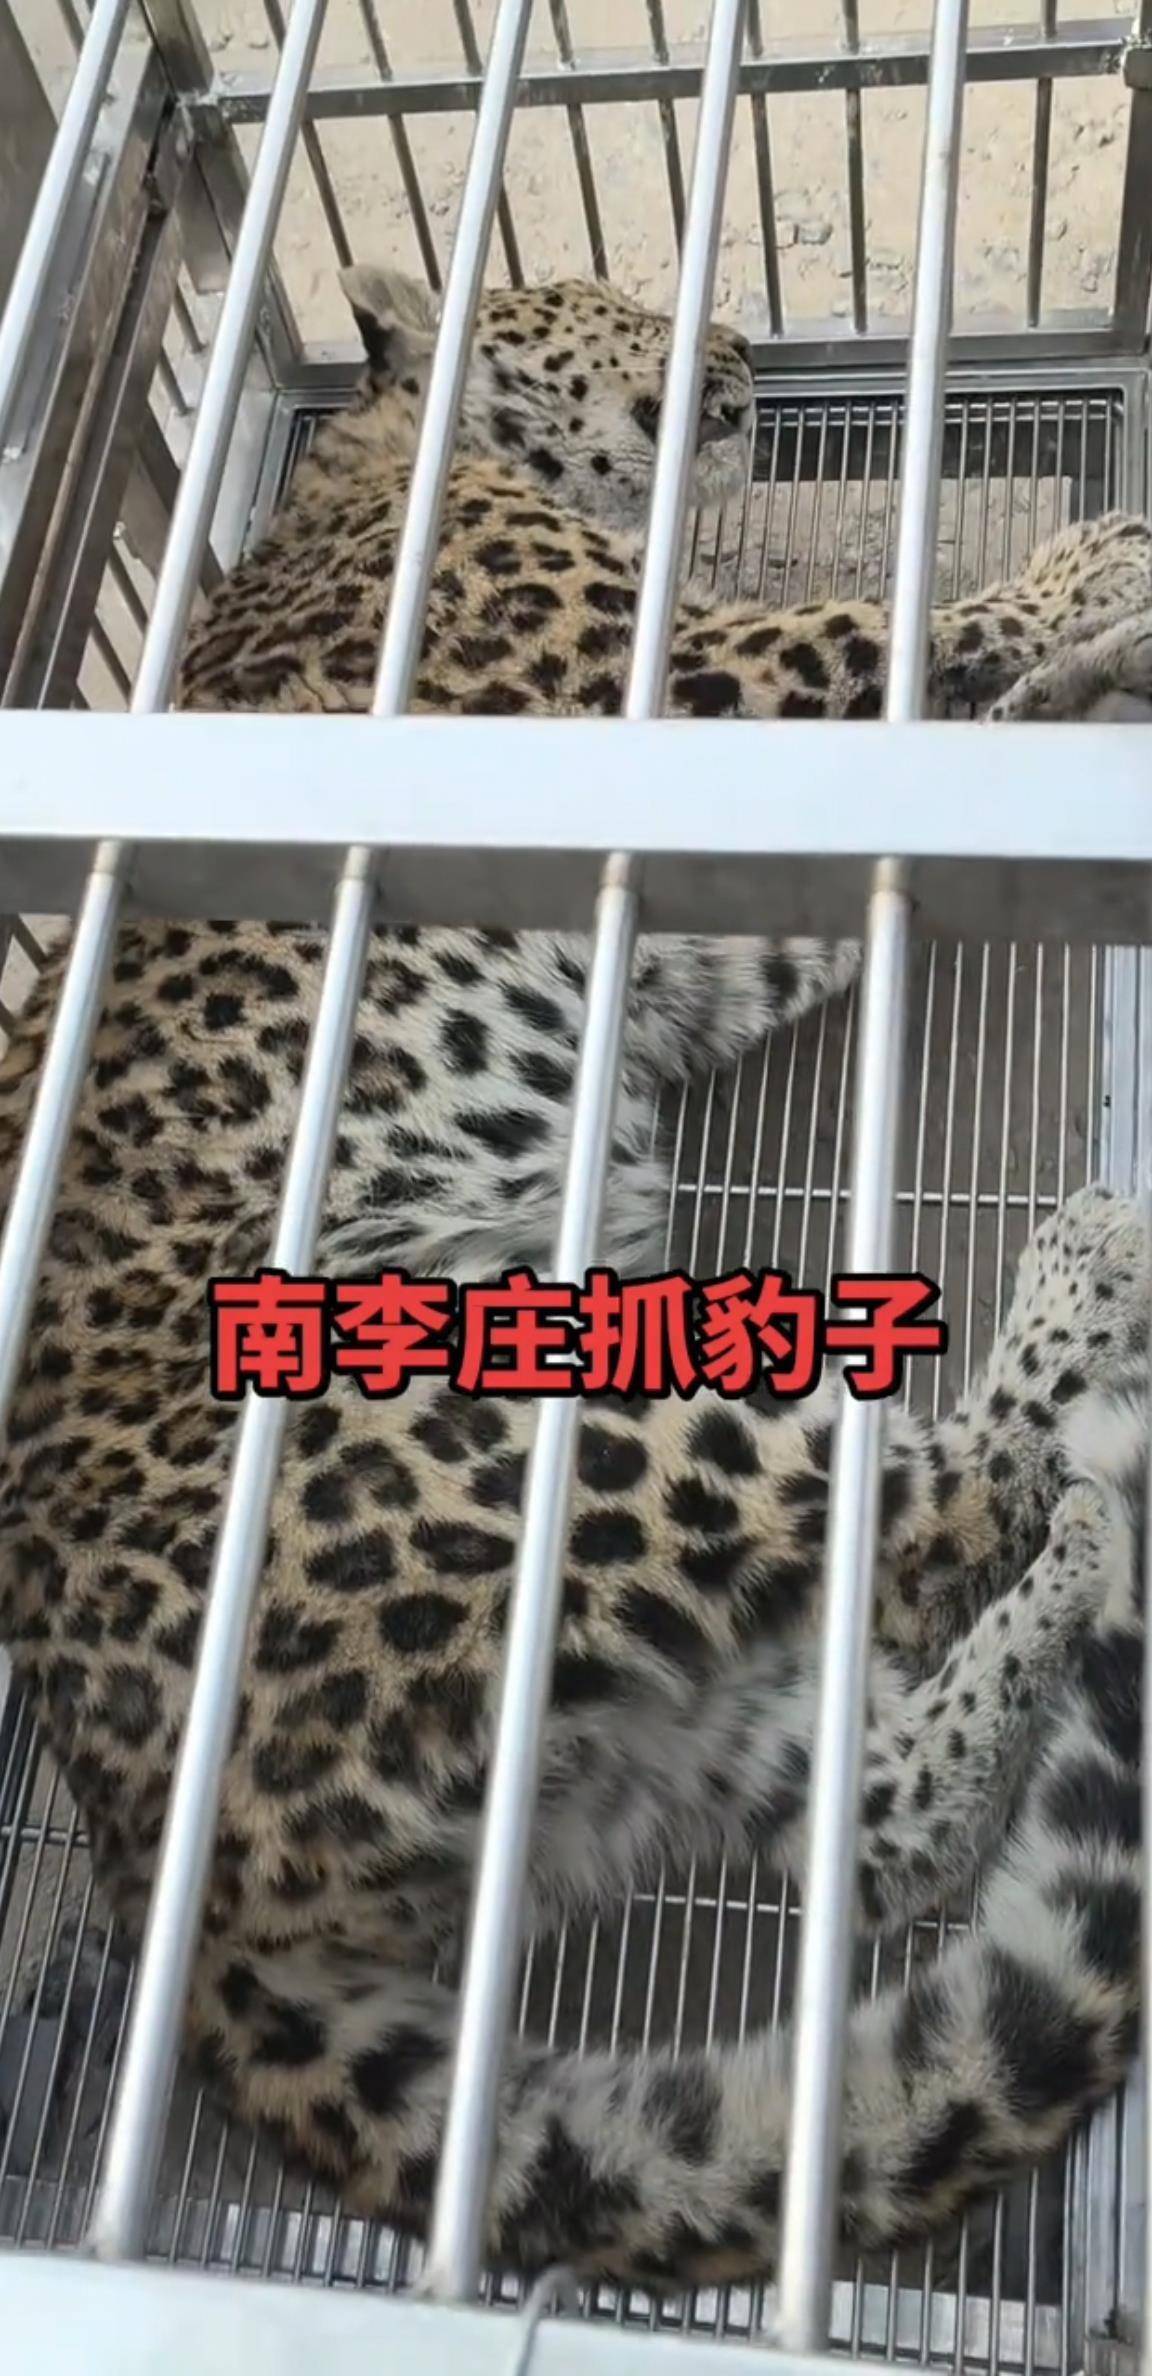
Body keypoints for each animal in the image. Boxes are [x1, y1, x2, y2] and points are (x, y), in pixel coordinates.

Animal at [1, 258, 1151, 2292]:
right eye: (613, 297)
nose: (750, 351)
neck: (411, 444)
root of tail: (158, 1874)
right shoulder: (679, 684)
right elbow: (896, 621)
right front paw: (1098, 574)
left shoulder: (688, 926)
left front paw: (1073, 669)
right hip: (525, 1418)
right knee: (937, 1494)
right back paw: (1085, 1319)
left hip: (650, 1713)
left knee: (889, 1822)